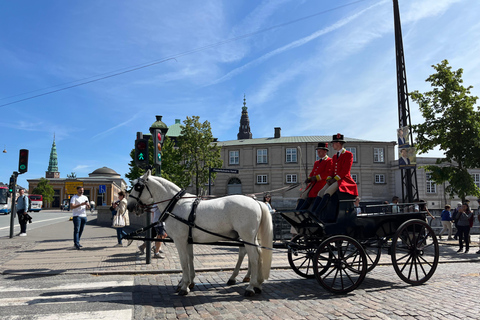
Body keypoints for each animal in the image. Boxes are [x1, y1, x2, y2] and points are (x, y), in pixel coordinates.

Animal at [126, 171, 274, 296]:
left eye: (138, 186)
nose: (129, 206)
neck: (176, 205)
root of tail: (255, 201)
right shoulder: (188, 240)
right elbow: (190, 258)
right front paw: (189, 282)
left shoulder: (180, 240)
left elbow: (183, 260)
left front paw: (184, 286)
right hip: (250, 238)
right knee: (254, 254)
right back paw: (256, 283)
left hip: (246, 236)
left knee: (254, 257)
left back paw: (250, 287)